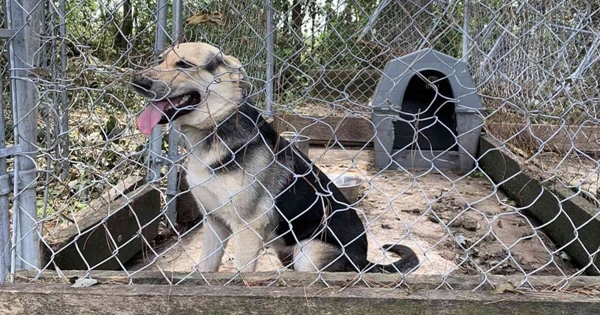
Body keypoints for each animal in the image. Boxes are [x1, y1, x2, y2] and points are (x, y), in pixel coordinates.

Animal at [130, 42, 418, 274]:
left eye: (184, 65)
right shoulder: (214, 223)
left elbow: (241, 275)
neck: (215, 128)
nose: (137, 83)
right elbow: (205, 270)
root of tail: (364, 262)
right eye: (160, 60)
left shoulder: (246, 229)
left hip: (307, 253)